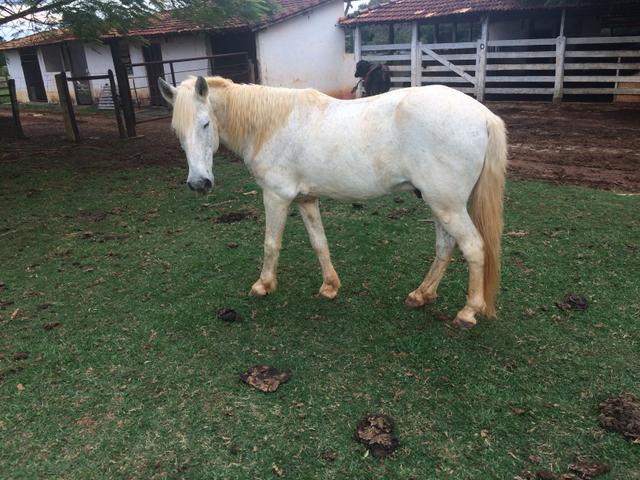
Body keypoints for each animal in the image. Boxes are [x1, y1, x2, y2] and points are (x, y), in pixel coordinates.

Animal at [158, 76, 507, 329]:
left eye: (205, 123)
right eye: (176, 130)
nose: (199, 183)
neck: (270, 125)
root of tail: (483, 115)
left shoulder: (276, 196)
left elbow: (271, 243)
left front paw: (263, 285)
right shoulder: (306, 199)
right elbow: (319, 242)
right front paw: (330, 287)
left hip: (447, 205)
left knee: (473, 247)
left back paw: (467, 312)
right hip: (439, 203)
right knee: (445, 246)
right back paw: (422, 295)